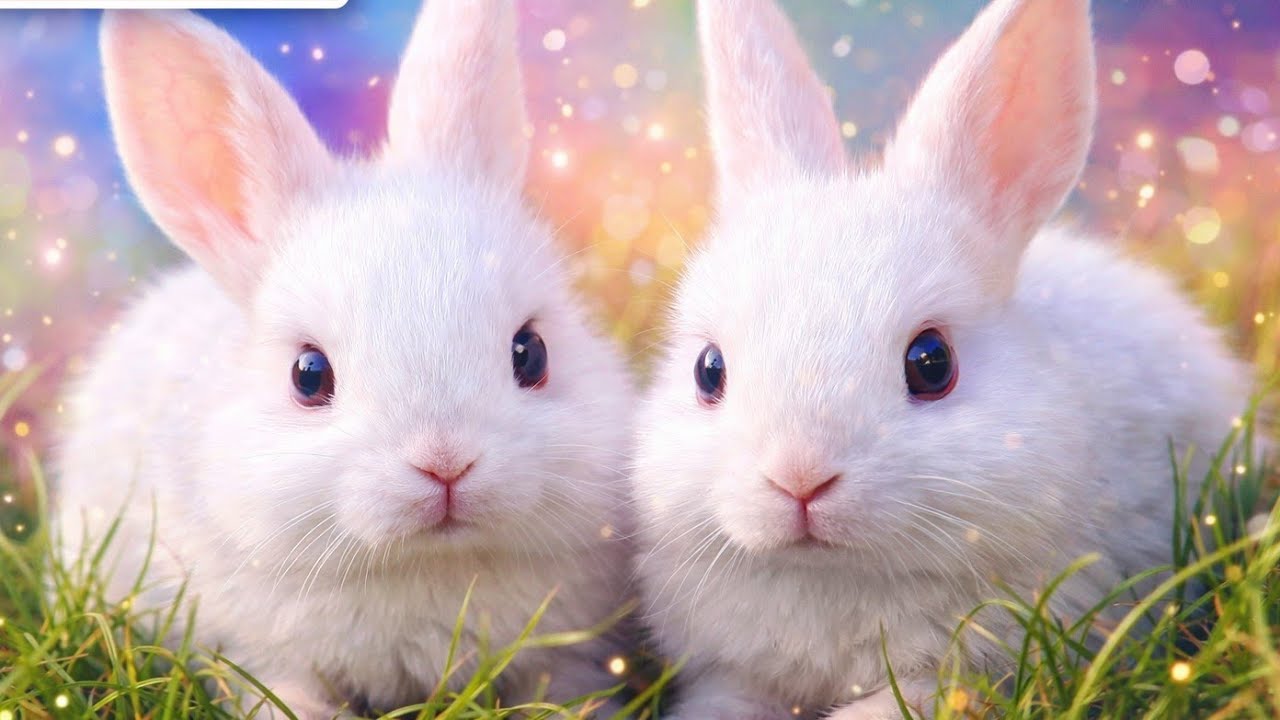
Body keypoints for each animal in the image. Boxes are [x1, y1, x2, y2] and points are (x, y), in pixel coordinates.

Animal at [54, 1, 634, 717]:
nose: (446, 463)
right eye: (308, 375)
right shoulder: (261, 658)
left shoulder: (567, 656)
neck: (424, 563)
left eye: (531, 353)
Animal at [629, 0, 1253, 718]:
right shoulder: (731, 676)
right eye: (709, 370)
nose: (799, 478)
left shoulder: (952, 679)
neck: (834, 576)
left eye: (932, 364)